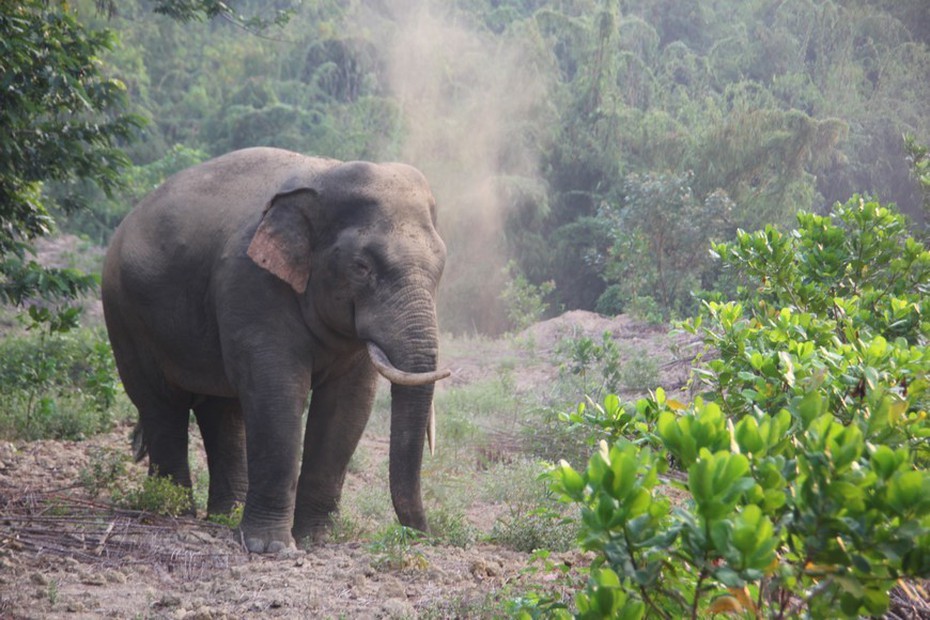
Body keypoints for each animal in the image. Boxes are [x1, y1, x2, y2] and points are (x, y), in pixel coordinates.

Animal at [101, 147, 450, 552]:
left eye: (441, 266)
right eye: (362, 267)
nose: (423, 535)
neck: (324, 176)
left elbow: (348, 405)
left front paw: (316, 539)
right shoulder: (251, 282)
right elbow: (277, 394)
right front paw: (270, 547)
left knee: (222, 409)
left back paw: (225, 515)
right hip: (124, 315)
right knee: (161, 403)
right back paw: (173, 510)